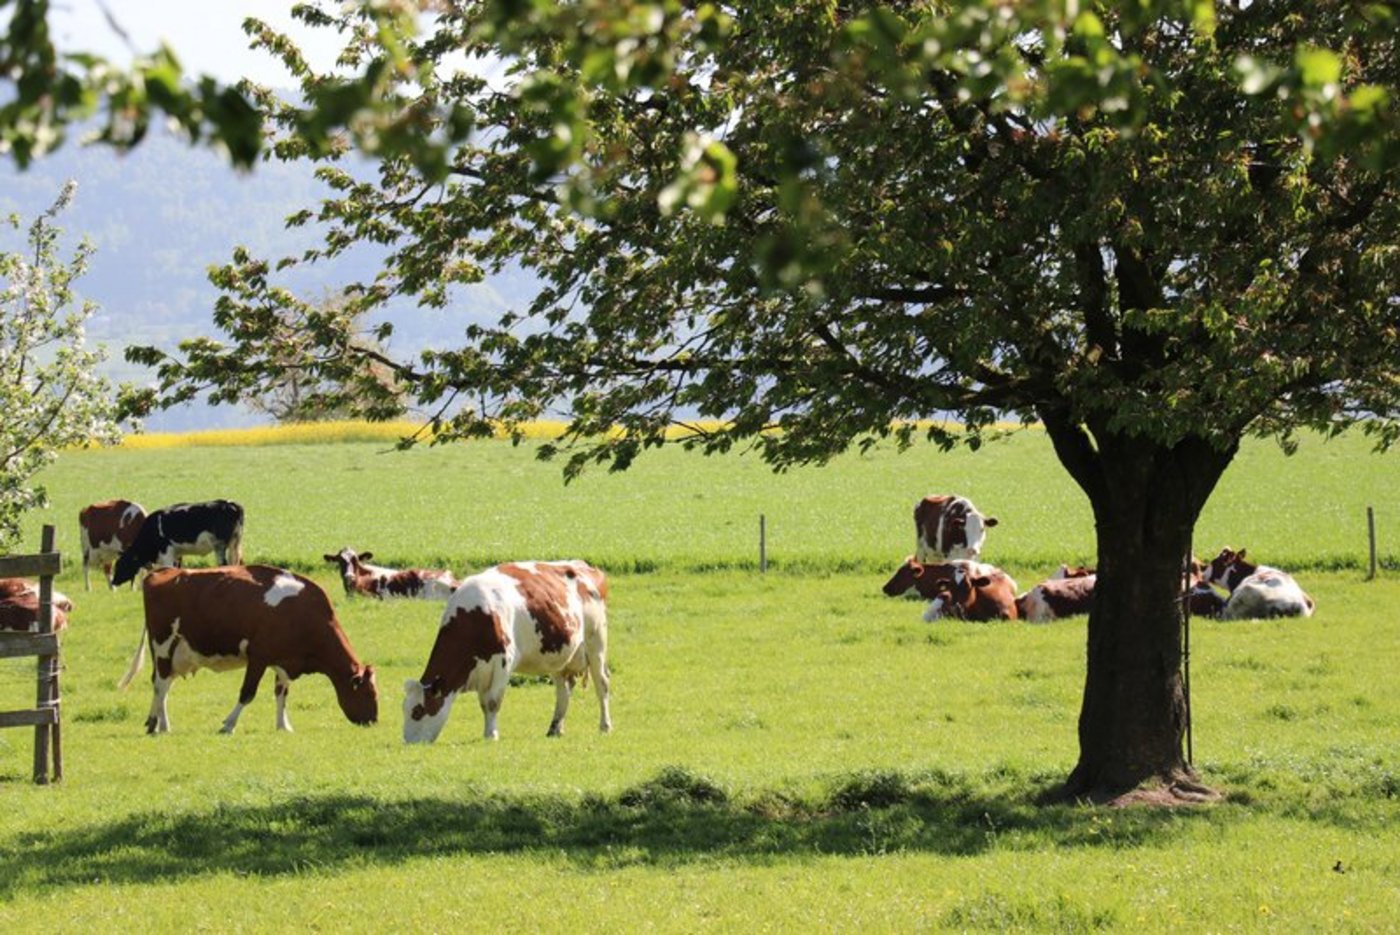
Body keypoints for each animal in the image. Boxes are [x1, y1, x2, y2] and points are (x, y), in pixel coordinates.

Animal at [110, 499, 245, 588]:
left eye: (121, 565)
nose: (113, 582)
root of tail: (229, 504)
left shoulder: (166, 554)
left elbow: (169, 569)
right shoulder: (177, 554)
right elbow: (177, 569)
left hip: (220, 546)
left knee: (224, 564)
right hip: (234, 544)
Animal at [117, 564, 378, 734]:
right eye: (369, 694)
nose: (374, 720)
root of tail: (162, 571)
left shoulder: (284, 661)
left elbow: (281, 693)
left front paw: (283, 726)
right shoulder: (259, 657)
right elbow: (247, 693)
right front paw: (229, 724)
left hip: (174, 653)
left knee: (161, 685)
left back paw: (154, 722)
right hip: (163, 645)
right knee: (161, 686)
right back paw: (162, 725)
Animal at [403, 560, 611, 744]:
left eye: (417, 711)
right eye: (404, 709)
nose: (408, 743)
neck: (476, 618)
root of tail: (584, 566)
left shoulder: (503, 662)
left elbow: (493, 702)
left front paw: (491, 735)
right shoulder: (482, 671)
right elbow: (484, 704)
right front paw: (488, 731)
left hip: (596, 641)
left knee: (602, 683)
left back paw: (605, 726)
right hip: (559, 655)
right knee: (563, 690)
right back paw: (555, 728)